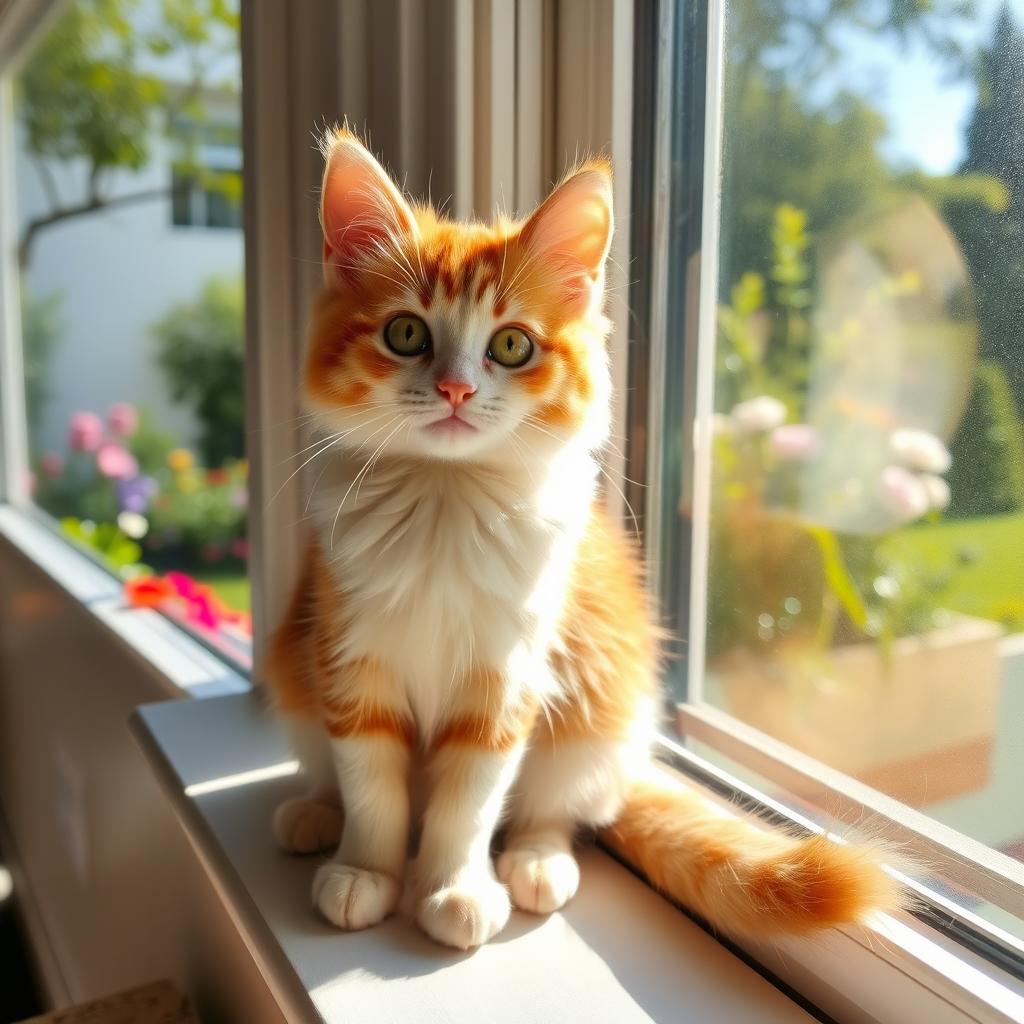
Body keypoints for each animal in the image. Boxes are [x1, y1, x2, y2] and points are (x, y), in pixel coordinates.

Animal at [264, 128, 897, 950]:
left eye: (510, 346)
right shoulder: (349, 654)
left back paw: (536, 864)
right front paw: (366, 871)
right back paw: (313, 813)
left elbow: (469, 800)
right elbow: (373, 786)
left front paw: (454, 887)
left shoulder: (509, 676)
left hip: (599, 715)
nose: (456, 389)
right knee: (328, 770)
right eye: (405, 334)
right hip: (295, 673)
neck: (445, 500)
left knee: (556, 811)